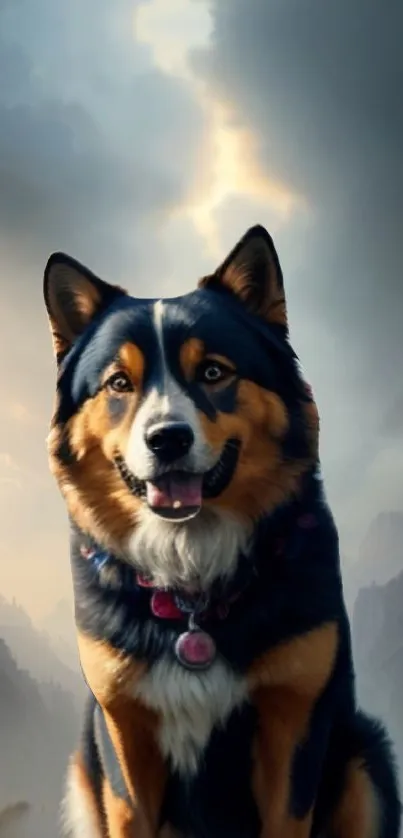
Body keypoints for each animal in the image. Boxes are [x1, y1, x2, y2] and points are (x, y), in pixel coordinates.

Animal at [44, 226, 400, 838]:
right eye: (119, 382)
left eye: (213, 371)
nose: (168, 438)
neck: (191, 580)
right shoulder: (123, 731)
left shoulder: (293, 720)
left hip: (364, 759)